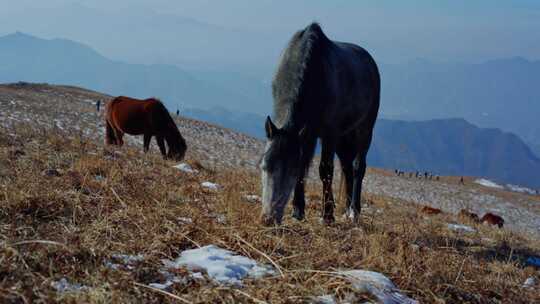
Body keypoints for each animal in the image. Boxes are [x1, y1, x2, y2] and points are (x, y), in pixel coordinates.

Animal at [260, 22, 380, 224]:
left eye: (290, 172)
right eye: (264, 166)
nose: (268, 219)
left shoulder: (328, 133)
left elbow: (325, 169)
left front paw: (327, 215)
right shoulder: (307, 134)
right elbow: (304, 165)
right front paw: (298, 210)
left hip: (365, 129)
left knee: (358, 167)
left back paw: (354, 211)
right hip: (343, 137)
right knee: (347, 167)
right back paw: (346, 209)